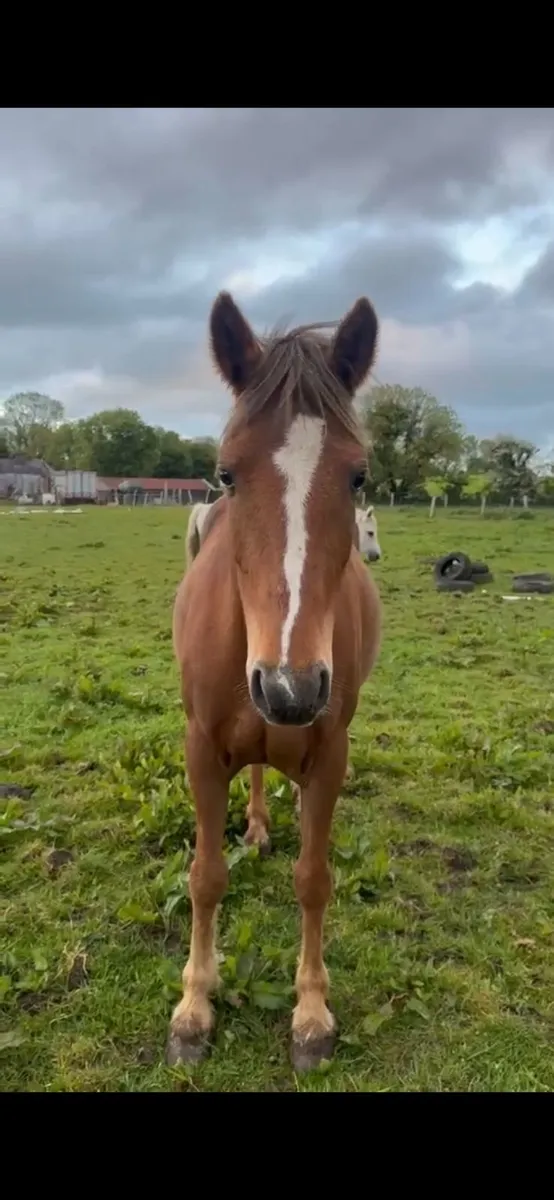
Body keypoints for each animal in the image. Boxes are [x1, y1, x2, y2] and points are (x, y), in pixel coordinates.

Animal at [169, 291, 382, 1072]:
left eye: (358, 476)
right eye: (227, 474)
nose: (290, 690)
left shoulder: (331, 754)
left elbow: (314, 881)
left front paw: (311, 1015)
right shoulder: (201, 748)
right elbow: (205, 876)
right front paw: (194, 1007)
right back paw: (259, 823)